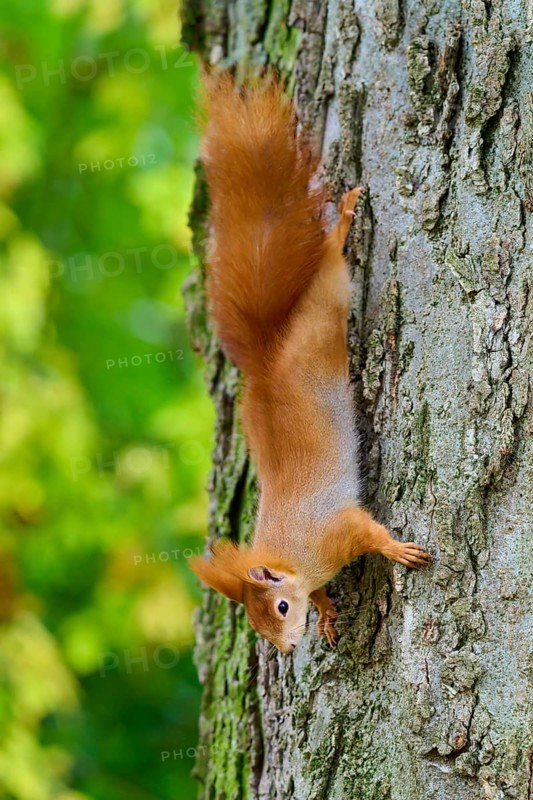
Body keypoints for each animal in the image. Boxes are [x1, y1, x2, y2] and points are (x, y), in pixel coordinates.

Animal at [190, 74, 430, 653]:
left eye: (278, 606)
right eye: (257, 623)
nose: (287, 649)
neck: (293, 555)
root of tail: (268, 361)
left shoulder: (337, 529)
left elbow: (371, 532)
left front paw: (398, 551)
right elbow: (323, 592)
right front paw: (324, 612)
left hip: (324, 313)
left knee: (328, 267)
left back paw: (342, 223)